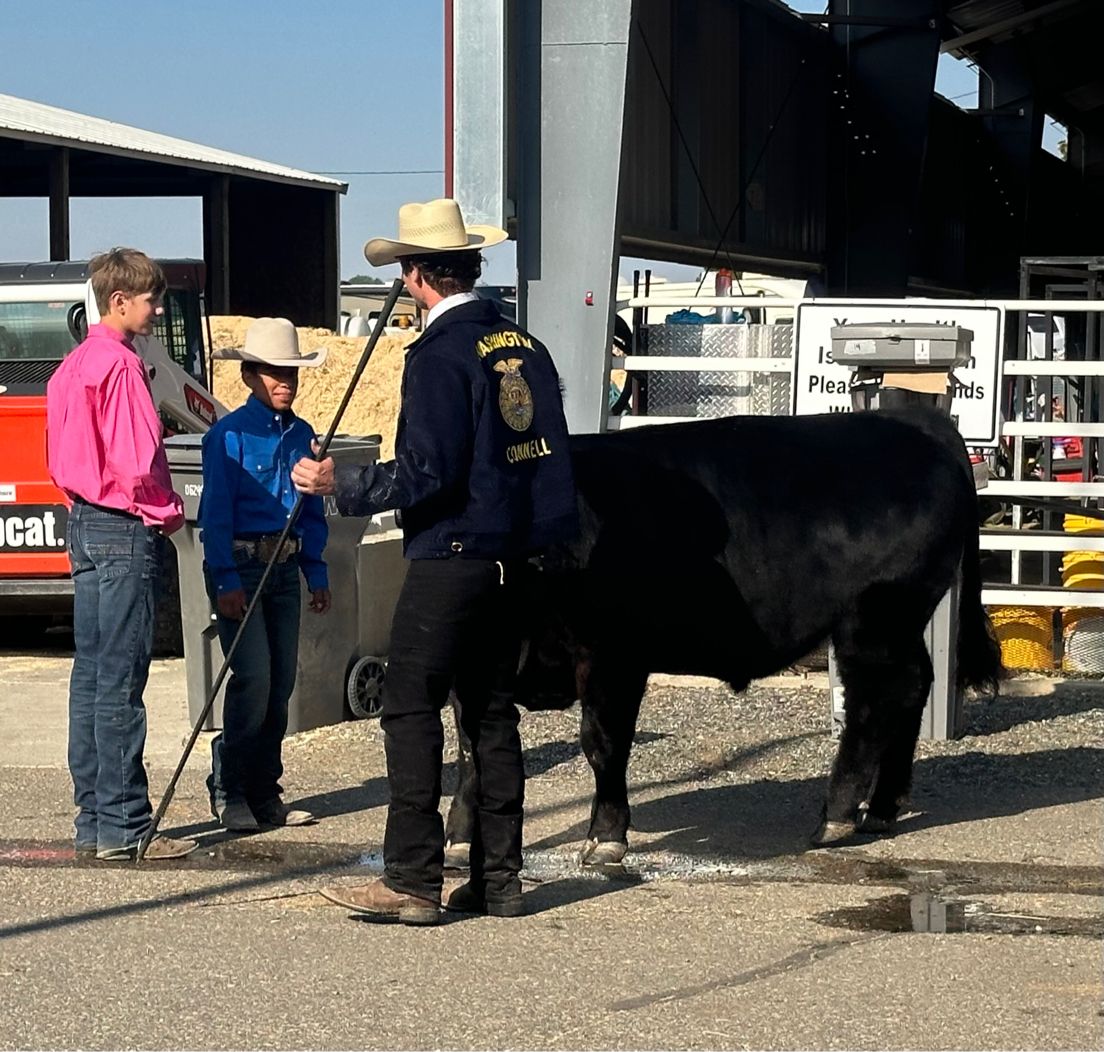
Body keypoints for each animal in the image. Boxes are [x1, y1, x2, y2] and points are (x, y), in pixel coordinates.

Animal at [443, 408, 1003, 868]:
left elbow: (602, 744)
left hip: (874, 622)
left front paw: (606, 836)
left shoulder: (612, 656)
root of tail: (912, 423)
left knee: (876, 703)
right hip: (900, 623)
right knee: (913, 687)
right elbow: (470, 751)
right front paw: (458, 839)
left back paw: (838, 815)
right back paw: (882, 808)